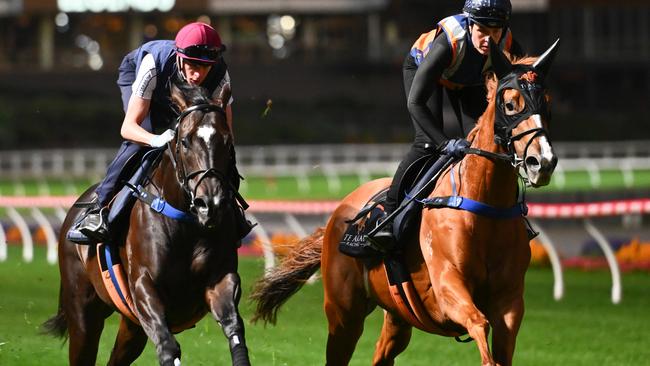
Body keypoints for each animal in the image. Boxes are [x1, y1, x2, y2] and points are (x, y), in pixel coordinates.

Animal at [43, 81, 251, 366]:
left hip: (132, 325)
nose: (210, 204)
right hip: (84, 313)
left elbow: (234, 327)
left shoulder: (221, 279)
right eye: (185, 141)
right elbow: (168, 346)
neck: (187, 225)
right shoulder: (144, 286)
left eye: (227, 141)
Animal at [251, 41, 560, 364]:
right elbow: (478, 322)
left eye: (547, 104)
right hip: (343, 312)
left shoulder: (510, 301)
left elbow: (500, 340)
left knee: (382, 352)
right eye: (510, 104)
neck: (486, 205)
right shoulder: (448, 286)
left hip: (397, 315)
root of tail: (338, 212)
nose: (542, 162)